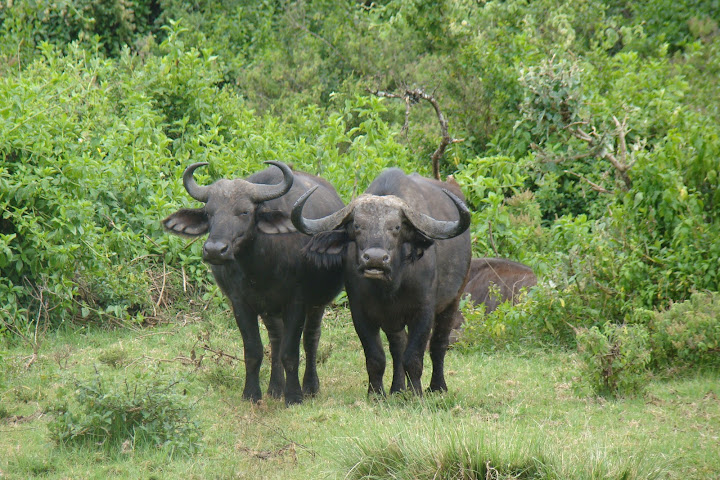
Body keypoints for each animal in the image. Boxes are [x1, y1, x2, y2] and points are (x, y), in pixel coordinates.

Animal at [163, 161, 344, 404]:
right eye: (209, 213)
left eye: (245, 211)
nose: (215, 250)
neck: (260, 269)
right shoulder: (241, 303)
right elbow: (253, 350)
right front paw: (251, 394)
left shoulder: (297, 302)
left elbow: (291, 352)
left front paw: (294, 396)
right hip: (269, 310)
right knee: (276, 339)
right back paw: (275, 389)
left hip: (317, 303)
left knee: (310, 338)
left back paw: (310, 387)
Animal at [292, 169, 472, 398]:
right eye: (357, 226)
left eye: (396, 227)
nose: (376, 259)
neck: (390, 287)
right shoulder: (361, 314)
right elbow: (376, 357)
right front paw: (376, 394)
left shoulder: (423, 311)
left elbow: (414, 357)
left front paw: (416, 394)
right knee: (398, 346)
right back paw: (397, 389)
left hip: (453, 300)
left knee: (439, 343)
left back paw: (437, 387)